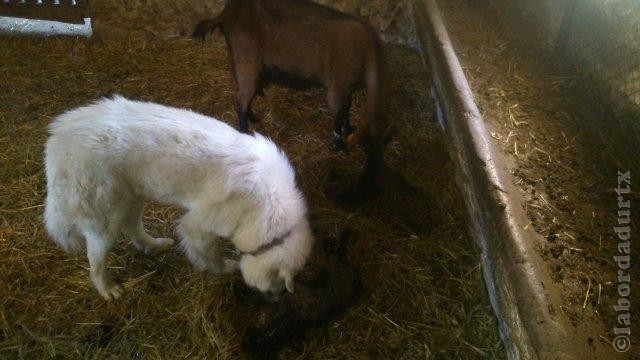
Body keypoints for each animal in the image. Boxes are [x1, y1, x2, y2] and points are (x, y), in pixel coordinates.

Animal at [42, 96, 312, 300]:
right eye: (279, 285)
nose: (276, 298)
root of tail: (58, 136)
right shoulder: (197, 227)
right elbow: (212, 258)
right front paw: (226, 268)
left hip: (133, 197)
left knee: (133, 228)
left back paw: (153, 245)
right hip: (104, 220)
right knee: (95, 258)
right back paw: (107, 288)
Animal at [191, 0, 390, 201]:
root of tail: (228, 12)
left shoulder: (347, 89)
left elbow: (346, 110)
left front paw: (347, 129)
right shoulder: (338, 85)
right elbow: (338, 113)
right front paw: (338, 145)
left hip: (240, 59)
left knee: (242, 95)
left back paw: (253, 118)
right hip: (247, 60)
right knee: (240, 101)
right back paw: (245, 132)